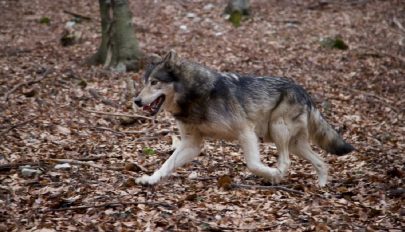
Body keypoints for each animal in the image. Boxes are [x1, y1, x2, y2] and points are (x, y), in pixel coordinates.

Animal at [133, 50, 354, 187]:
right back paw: (321, 186)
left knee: (286, 162)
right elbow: (166, 164)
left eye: (154, 82)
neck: (195, 94)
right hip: (292, 143)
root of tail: (304, 91)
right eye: (144, 82)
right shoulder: (191, 144)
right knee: (321, 162)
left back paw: (277, 177)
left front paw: (272, 174)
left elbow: (253, 164)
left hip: (277, 130)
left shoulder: (246, 131)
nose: (136, 100)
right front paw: (150, 180)